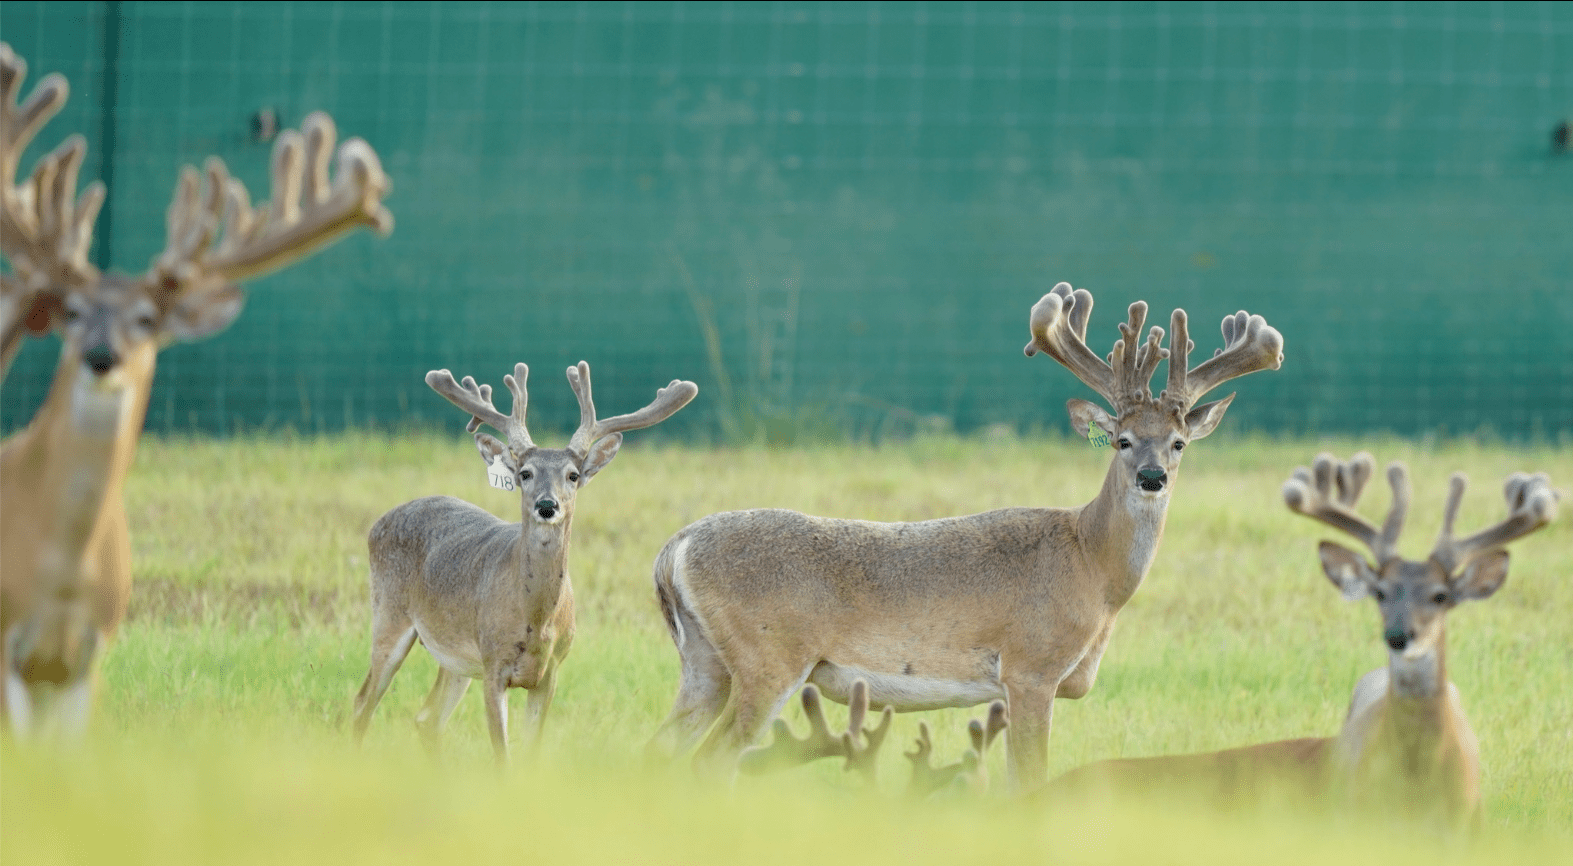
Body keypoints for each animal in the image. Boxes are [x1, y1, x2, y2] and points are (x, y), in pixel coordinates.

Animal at [0, 43, 393, 737]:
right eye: (72, 311)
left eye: (147, 320)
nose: (102, 356)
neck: (58, 570)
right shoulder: (8, 645)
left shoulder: (87, 658)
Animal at [351, 362, 697, 763]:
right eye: (524, 473)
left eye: (573, 475)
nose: (547, 505)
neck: (534, 622)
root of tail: (380, 522)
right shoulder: (493, 665)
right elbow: (503, 757)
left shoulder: (552, 671)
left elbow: (531, 753)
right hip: (389, 614)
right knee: (363, 703)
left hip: (455, 659)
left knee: (427, 718)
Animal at [647, 280, 1285, 790]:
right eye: (1122, 439)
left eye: (1179, 442)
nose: (1152, 477)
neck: (1092, 568)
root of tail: (673, 550)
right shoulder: (1030, 667)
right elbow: (1027, 781)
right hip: (769, 657)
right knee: (708, 761)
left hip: (704, 663)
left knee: (659, 750)